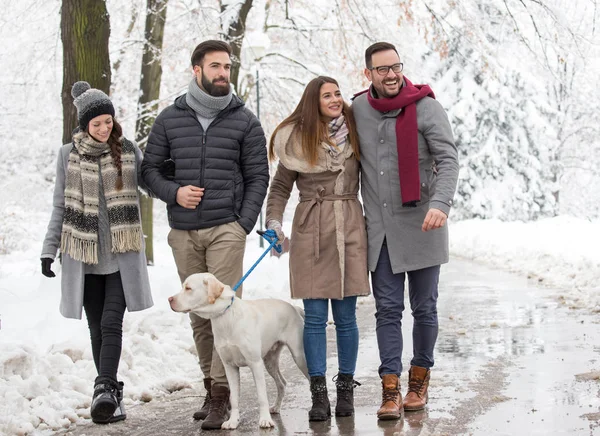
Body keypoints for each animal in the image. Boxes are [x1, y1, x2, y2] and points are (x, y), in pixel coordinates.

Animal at [169, 272, 310, 430]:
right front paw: (233, 421)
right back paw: (276, 407)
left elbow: (262, 396)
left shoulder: (255, 364)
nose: (169, 299)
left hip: (299, 356)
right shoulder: (229, 367)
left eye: (188, 288)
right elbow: (234, 398)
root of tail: (294, 307)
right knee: (282, 383)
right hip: (269, 361)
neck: (225, 317)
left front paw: (265, 420)